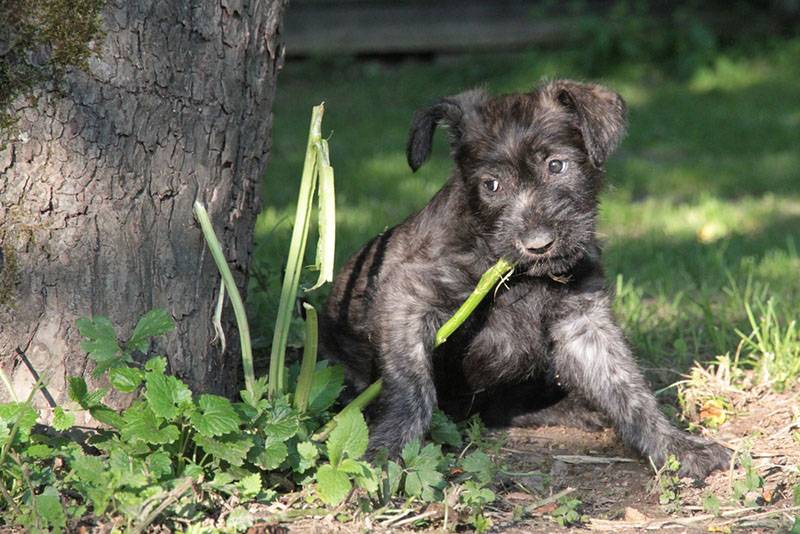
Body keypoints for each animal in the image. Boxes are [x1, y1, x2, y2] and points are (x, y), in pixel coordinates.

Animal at [318, 79, 732, 482]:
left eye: (557, 165)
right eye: (491, 185)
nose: (538, 245)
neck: (518, 274)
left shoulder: (583, 321)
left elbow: (627, 387)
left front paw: (677, 446)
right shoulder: (408, 296)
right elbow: (411, 386)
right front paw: (389, 448)